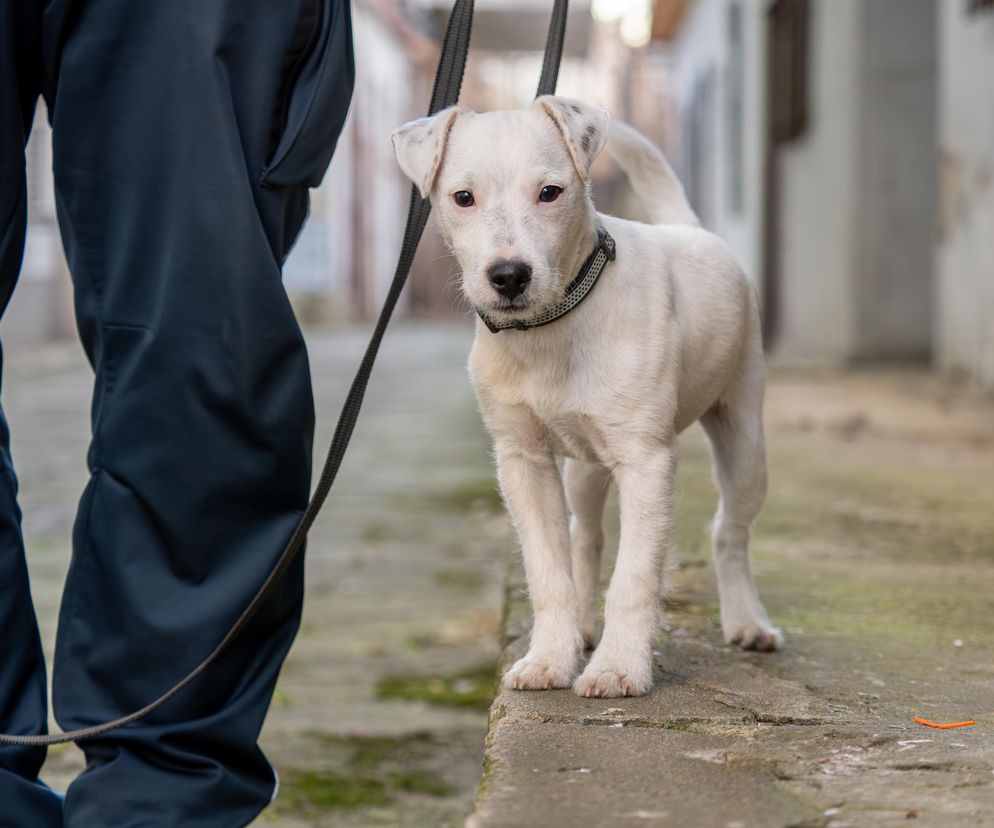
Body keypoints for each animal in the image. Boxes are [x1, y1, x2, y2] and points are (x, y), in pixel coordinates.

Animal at [392, 95, 780, 700]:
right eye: (463, 197)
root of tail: (686, 228)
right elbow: (548, 572)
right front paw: (550, 657)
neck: (555, 324)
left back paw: (745, 621)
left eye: (550, 192)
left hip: (744, 439)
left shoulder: (646, 461)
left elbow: (634, 577)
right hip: (584, 466)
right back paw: (582, 626)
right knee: (586, 534)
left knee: (729, 532)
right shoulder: (522, 461)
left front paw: (620, 667)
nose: (508, 276)